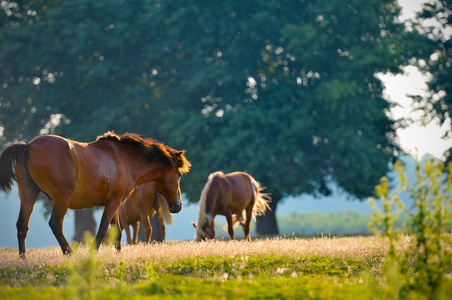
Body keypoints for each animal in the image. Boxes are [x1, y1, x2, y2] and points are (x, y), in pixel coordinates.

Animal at [0, 131, 191, 258]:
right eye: (179, 175)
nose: (178, 205)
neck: (125, 159)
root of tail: (29, 146)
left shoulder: (115, 203)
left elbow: (117, 230)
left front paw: (118, 254)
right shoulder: (113, 203)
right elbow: (103, 228)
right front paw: (94, 252)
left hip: (28, 196)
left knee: (22, 226)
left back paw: (23, 258)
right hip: (61, 199)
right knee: (55, 224)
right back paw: (69, 253)